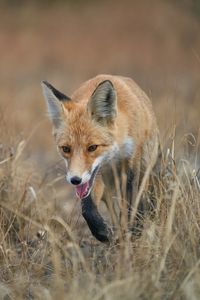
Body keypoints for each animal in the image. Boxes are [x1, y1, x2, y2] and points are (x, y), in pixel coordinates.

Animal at [42, 74, 159, 241]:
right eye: (66, 149)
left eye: (92, 147)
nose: (75, 180)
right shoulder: (94, 177)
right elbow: (87, 208)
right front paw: (103, 232)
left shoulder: (132, 166)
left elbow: (131, 205)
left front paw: (133, 232)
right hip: (107, 187)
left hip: (145, 167)